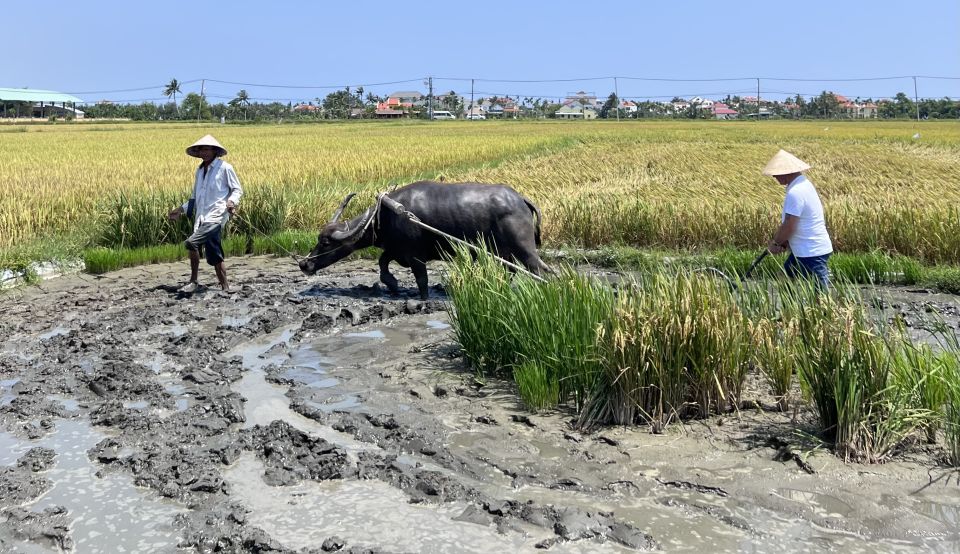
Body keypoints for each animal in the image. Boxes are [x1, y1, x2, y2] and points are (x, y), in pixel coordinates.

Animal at [304, 180, 552, 298]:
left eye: (325, 242)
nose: (304, 264)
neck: (384, 215)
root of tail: (521, 199)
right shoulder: (397, 250)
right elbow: (382, 262)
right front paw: (392, 284)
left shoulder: (415, 255)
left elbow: (421, 279)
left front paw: (423, 298)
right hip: (504, 252)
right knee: (511, 270)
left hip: (523, 247)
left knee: (538, 269)